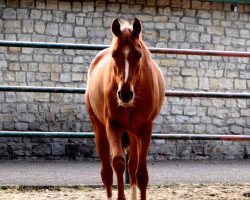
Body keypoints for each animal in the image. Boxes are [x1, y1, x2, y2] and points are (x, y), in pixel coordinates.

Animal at [85, 18, 165, 199]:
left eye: (138, 54)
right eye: (115, 54)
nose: (125, 94)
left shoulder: (144, 128)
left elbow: (141, 172)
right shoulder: (113, 126)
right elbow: (118, 163)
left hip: (133, 132)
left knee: (133, 165)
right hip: (99, 129)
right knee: (107, 172)